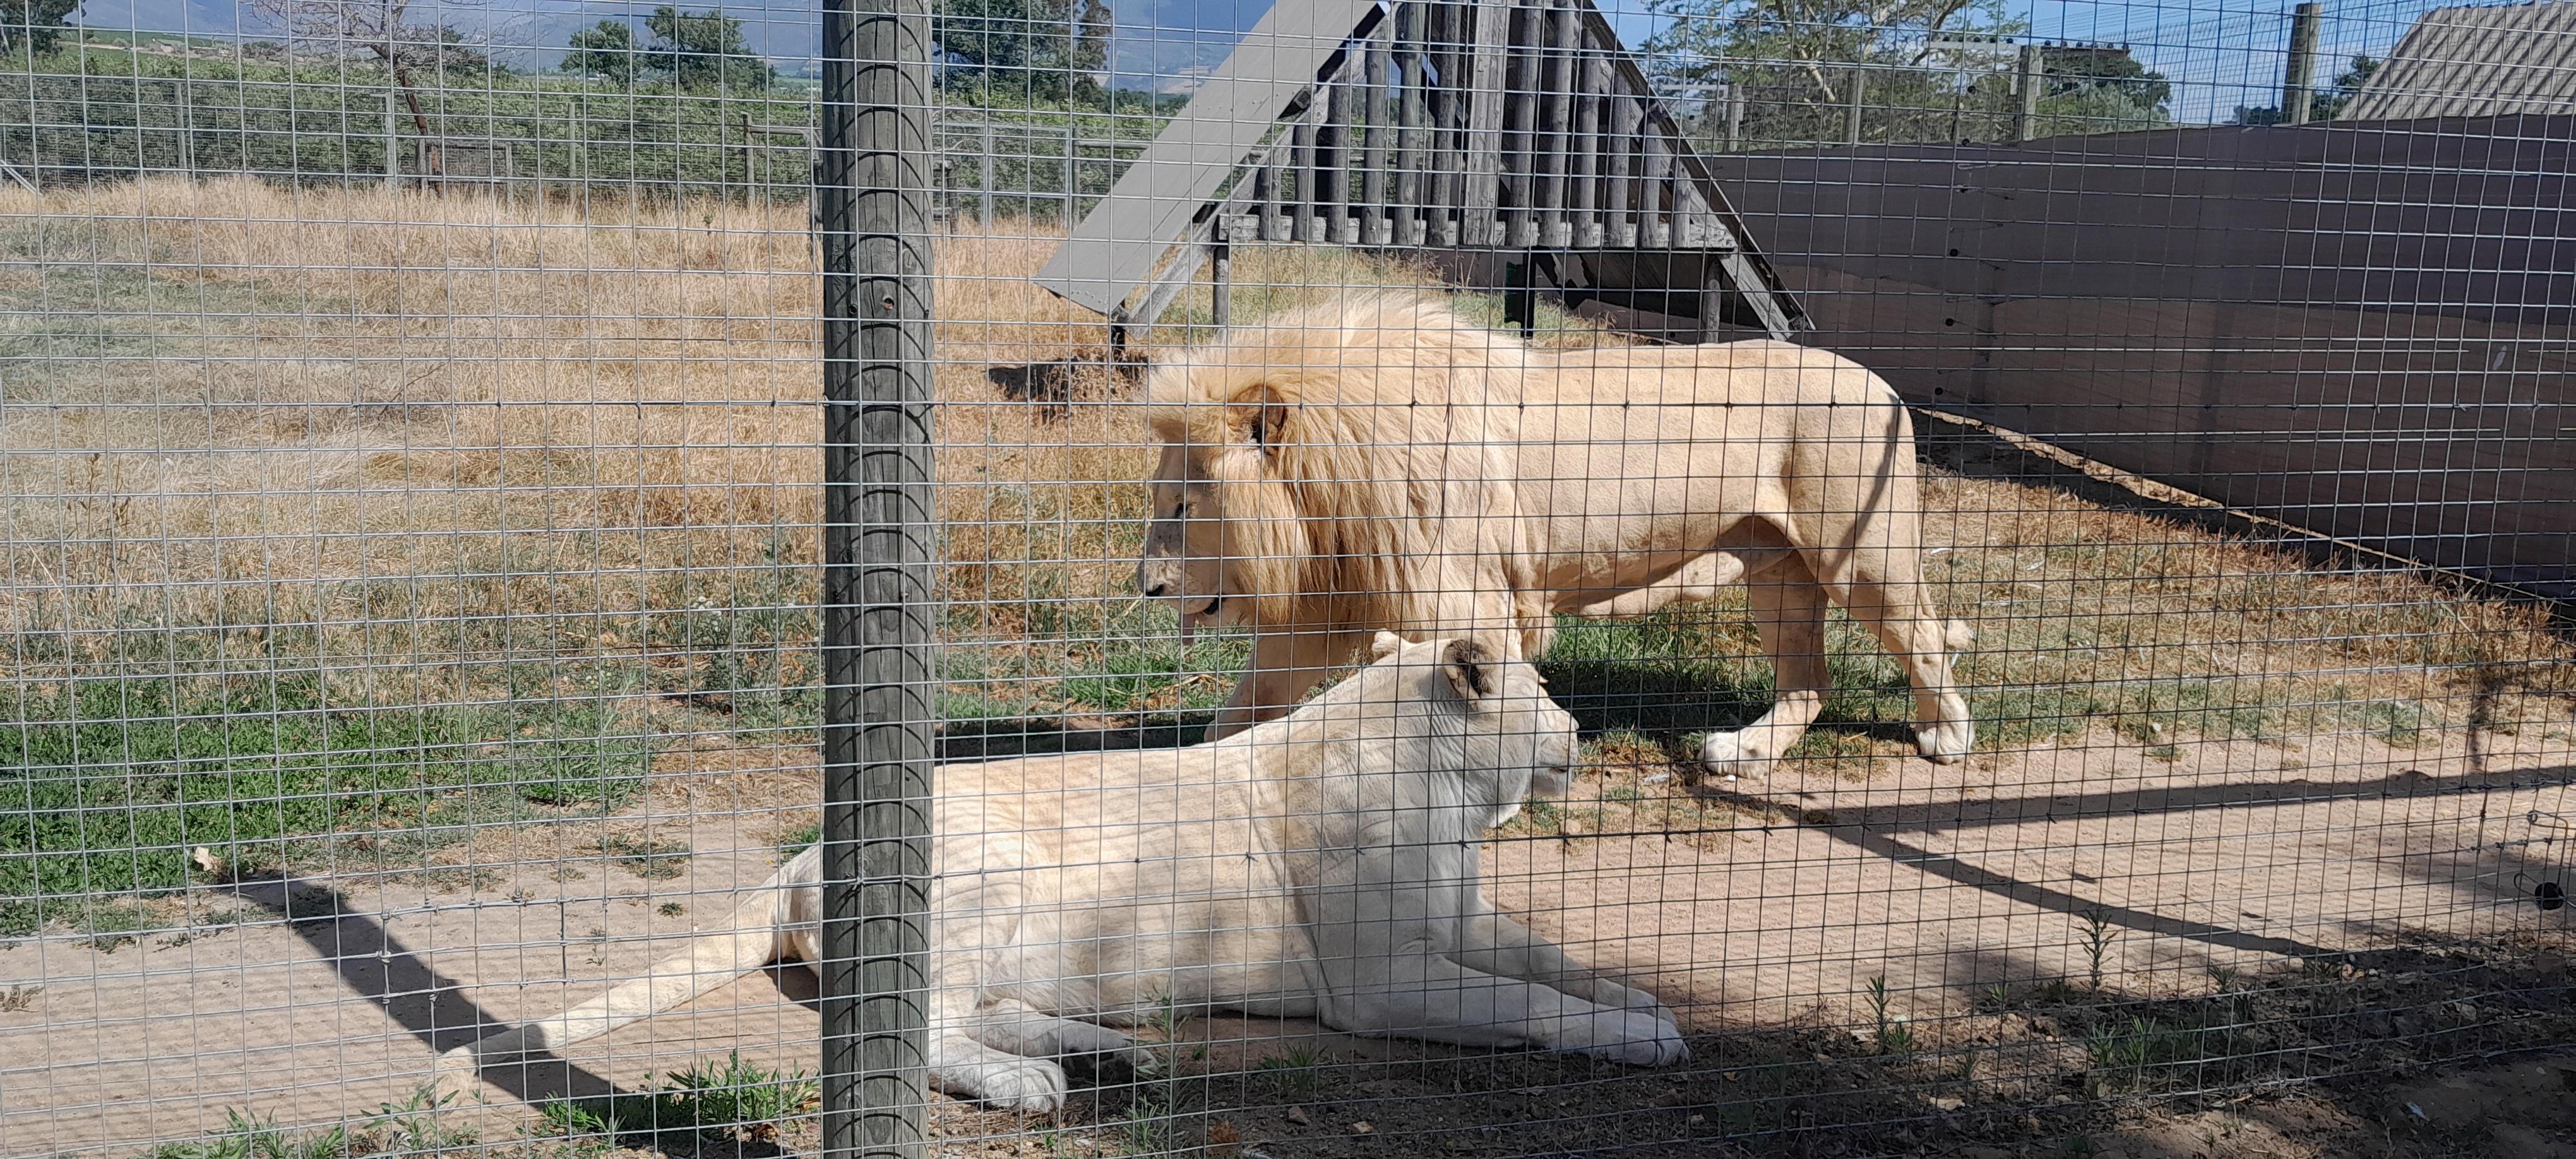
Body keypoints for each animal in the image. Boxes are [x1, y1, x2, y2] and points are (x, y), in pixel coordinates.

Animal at [431, 634, 1685, 1112]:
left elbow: (1557, 960)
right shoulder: (1382, 982)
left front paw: (1652, 1005)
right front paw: (1635, 1037)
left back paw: (1113, 1052)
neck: (1457, 798)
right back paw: (1034, 1084)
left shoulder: (1462, 921)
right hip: (987, 878)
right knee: (922, 1029)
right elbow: (1526, 1003)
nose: (1579, 730)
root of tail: (800, 853)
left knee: (986, 1009)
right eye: (1539, 687)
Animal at [1136, 295, 1974, 777]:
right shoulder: (1325, 609)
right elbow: (1244, 709)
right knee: (1809, 682)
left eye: (1182, 506)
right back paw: (1744, 751)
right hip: (1778, 567)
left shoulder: (1462, 603)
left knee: (1923, 639)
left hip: (1858, 557)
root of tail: (1883, 384)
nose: (1145, 587)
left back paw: (1947, 735)